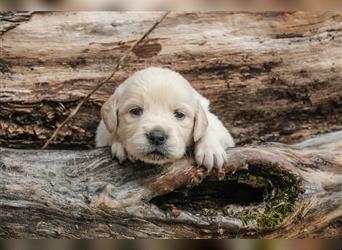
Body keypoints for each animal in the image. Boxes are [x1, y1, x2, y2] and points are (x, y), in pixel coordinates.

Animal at [96, 66, 235, 172]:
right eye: (135, 111)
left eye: (179, 114)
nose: (157, 137)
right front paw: (122, 145)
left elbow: (211, 126)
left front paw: (210, 150)